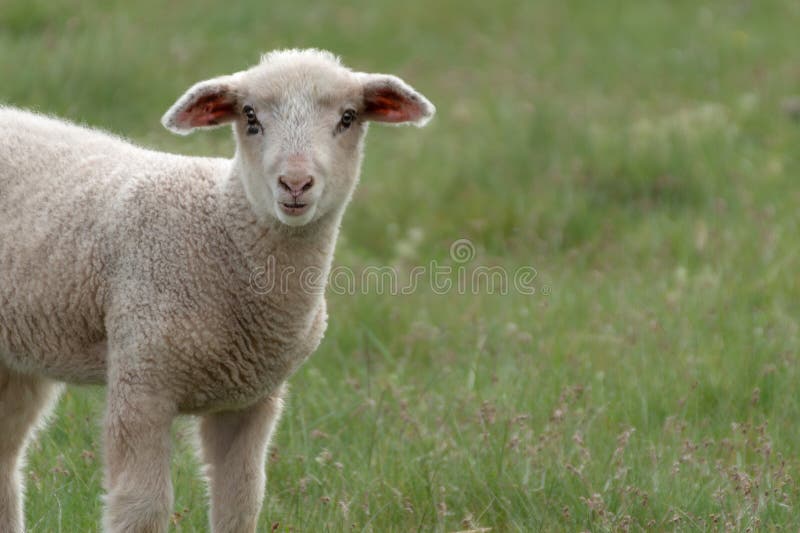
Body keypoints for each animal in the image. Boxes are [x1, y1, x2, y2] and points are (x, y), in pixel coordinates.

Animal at [0, 47, 434, 528]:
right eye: (250, 117)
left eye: (348, 117)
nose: (295, 184)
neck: (220, 227)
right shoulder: (141, 380)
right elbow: (143, 506)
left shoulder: (250, 402)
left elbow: (241, 502)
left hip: (16, 358)